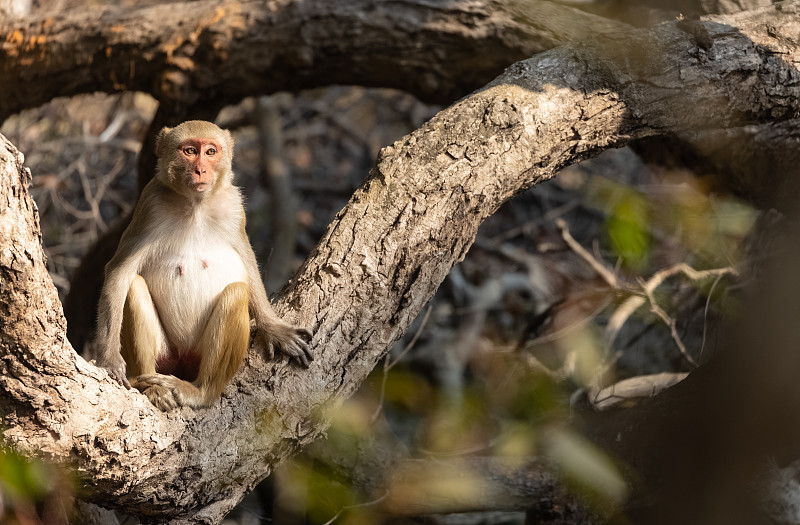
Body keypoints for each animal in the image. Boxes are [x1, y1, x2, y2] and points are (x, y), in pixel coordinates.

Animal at [95, 119, 314, 410]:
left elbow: (247, 262)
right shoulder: (150, 204)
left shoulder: (234, 207)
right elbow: (119, 272)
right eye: (190, 151)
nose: (200, 169)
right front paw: (108, 358)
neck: (196, 203)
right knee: (134, 287)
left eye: (210, 152)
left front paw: (273, 327)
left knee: (236, 293)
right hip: (167, 355)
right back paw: (153, 387)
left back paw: (201, 392)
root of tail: (183, 361)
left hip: (199, 356)